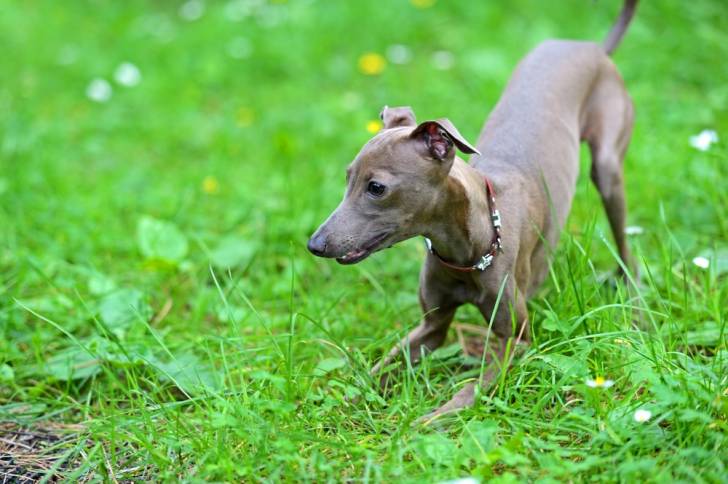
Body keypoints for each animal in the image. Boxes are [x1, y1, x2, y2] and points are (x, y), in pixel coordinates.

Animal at [308, 0, 637, 420]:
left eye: (376, 188)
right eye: (348, 177)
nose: (315, 245)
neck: (468, 251)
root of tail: (591, 48)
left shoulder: (515, 341)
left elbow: (467, 392)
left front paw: (423, 423)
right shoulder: (431, 327)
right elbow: (377, 369)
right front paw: (334, 407)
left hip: (608, 166)